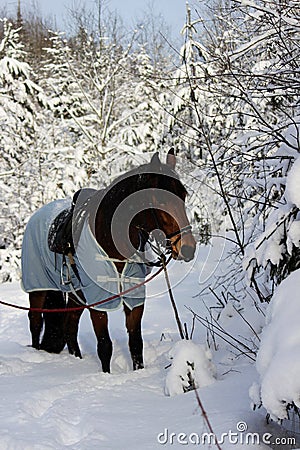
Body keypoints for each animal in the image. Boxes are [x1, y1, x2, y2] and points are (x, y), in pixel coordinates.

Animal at [22, 151, 196, 372]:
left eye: (183, 196)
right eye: (159, 199)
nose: (188, 248)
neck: (111, 241)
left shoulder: (134, 297)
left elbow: (135, 343)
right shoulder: (99, 299)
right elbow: (105, 345)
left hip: (77, 292)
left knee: (69, 326)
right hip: (39, 288)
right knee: (35, 322)